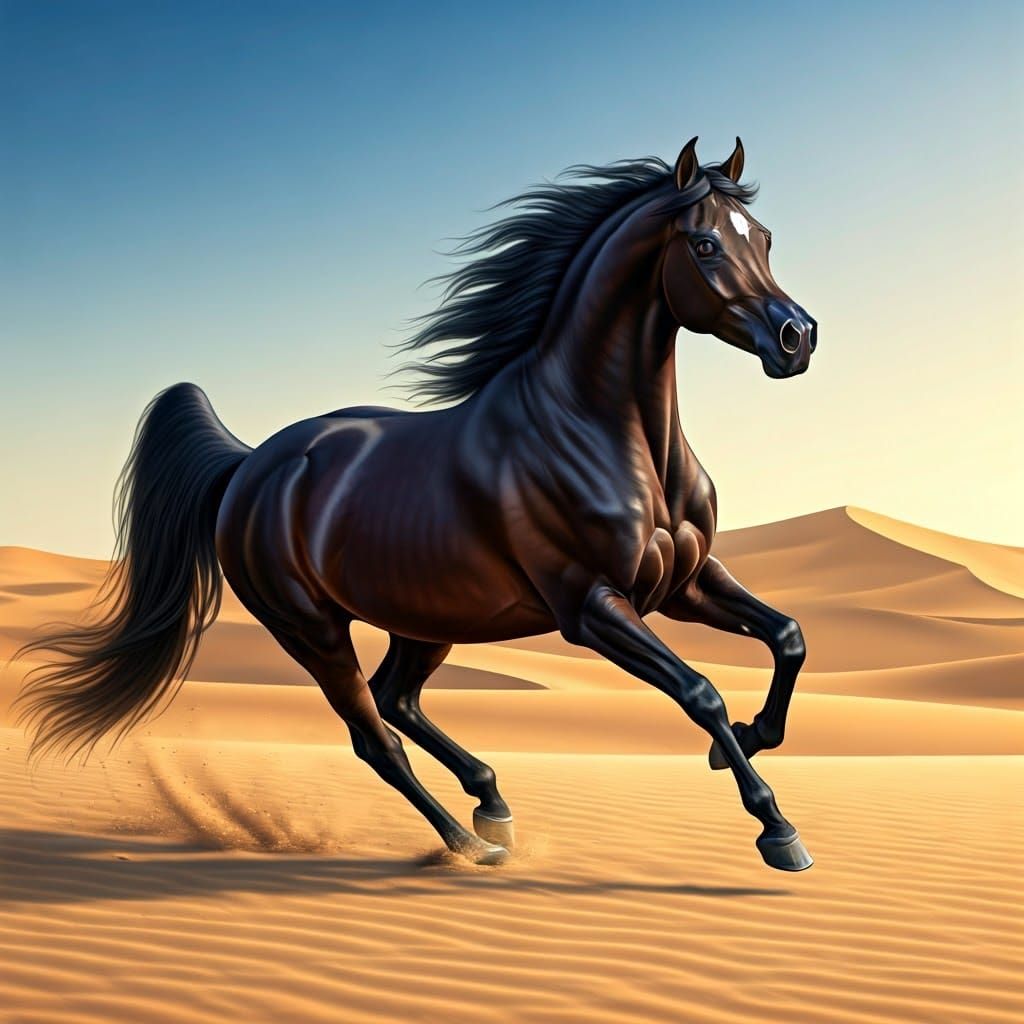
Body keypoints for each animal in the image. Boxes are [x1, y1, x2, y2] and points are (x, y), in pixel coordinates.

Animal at [17, 136, 818, 871]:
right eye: (705, 243)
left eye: (765, 238)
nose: (797, 337)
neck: (604, 436)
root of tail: (248, 466)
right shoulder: (591, 606)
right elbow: (700, 691)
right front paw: (778, 831)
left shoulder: (685, 582)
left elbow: (788, 637)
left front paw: (752, 740)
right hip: (311, 629)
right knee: (375, 734)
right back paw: (470, 841)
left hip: (427, 615)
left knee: (396, 698)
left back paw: (491, 803)